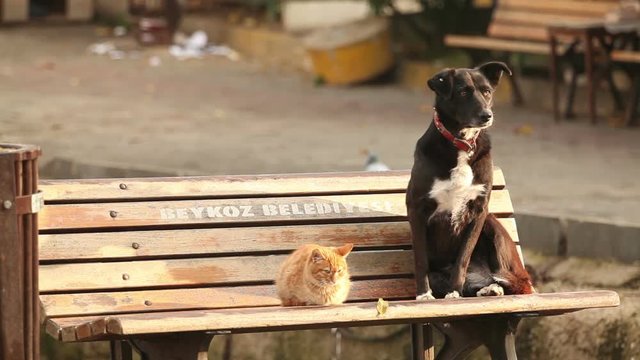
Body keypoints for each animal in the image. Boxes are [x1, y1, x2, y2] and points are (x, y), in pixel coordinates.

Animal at [404, 62, 536, 300]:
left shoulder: (478, 212)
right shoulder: (416, 208)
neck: (461, 143)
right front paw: (423, 295)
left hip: (493, 226)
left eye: (487, 92)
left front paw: (454, 292)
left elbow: (462, 259)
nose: (487, 115)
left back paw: (492, 288)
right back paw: (486, 288)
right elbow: (420, 260)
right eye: (463, 92)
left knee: (515, 283)